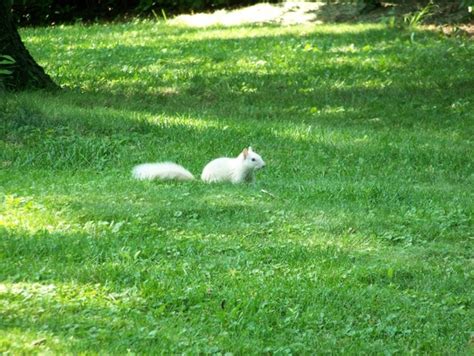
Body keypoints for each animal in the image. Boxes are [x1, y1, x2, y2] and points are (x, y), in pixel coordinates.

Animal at [133, 146, 264, 184]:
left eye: (260, 155)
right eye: (253, 159)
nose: (264, 166)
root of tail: (201, 179)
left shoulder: (250, 176)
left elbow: (252, 182)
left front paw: (253, 185)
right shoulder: (237, 174)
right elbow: (237, 182)